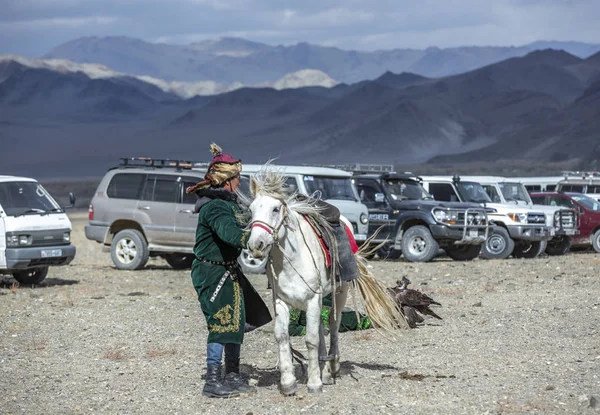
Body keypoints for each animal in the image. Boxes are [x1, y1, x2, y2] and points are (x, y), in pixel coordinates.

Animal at [244, 168, 404, 396]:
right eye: (251, 210)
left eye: (275, 209)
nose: (256, 245)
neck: (293, 259)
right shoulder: (281, 301)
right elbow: (283, 336)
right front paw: (288, 383)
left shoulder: (312, 299)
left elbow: (311, 339)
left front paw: (314, 383)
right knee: (321, 326)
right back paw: (323, 368)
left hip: (340, 293)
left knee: (333, 325)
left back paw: (331, 368)